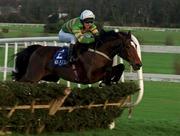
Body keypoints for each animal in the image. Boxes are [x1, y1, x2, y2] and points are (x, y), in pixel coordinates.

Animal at [12, 30, 142, 84]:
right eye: (128, 47)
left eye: (135, 45)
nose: (138, 64)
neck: (99, 52)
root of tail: (38, 48)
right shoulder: (91, 77)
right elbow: (109, 70)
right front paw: (108, 80)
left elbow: (119, 67)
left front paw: (112, 80)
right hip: (33, 76)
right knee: (20, 81)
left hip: (47, 76)